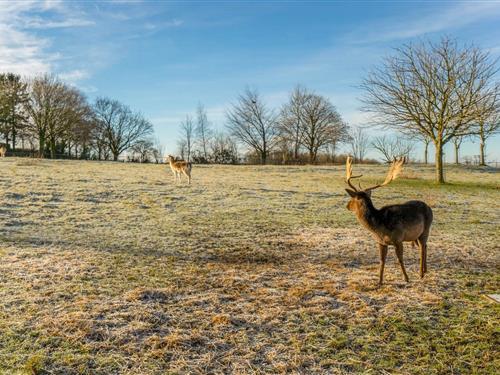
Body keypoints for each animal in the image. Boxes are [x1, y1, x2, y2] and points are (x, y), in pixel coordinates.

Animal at [346, 157, 432, 286]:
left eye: (352, 198)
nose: (347, 206)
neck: (379, 226)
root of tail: (430, 208)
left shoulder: (398, 239)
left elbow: (400, 259)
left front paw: (406, 278)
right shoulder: (381, 242)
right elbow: (382, 260)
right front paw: (379, 281)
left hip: (426, 229)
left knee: (422, 248)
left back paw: (421, 274)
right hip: (417, 235)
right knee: (425, 246)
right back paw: (425, 270)